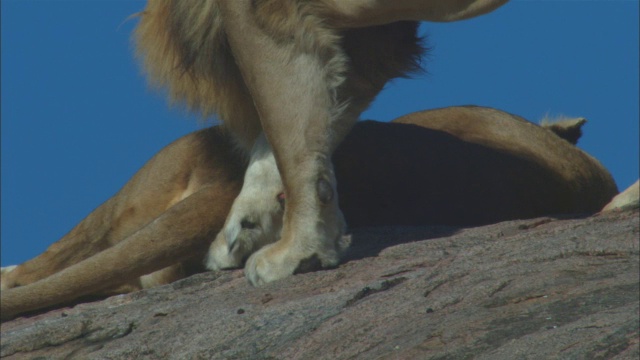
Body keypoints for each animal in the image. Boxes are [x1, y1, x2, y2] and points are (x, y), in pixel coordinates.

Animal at [134, 0, 510, 286]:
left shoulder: (259, 11)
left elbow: (291, 139)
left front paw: (301, 250)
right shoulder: (372, 40)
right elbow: (293, 134)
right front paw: (248, 224)